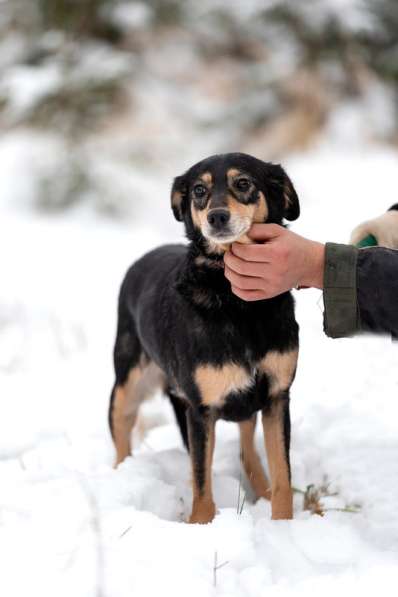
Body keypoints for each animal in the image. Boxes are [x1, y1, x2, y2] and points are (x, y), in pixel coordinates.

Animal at [107, 152, 300, 520]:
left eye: (243, 183)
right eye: (199, 190)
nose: (217, 216)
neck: (236, 301)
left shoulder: (276, 396)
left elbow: (283, 477)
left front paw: (283, 523)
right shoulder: (200, 410)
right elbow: (201, 484)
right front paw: (202, 525)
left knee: (246, 450)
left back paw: (261, 491)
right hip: (127, 385)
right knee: (122, 433)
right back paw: (122, 475)